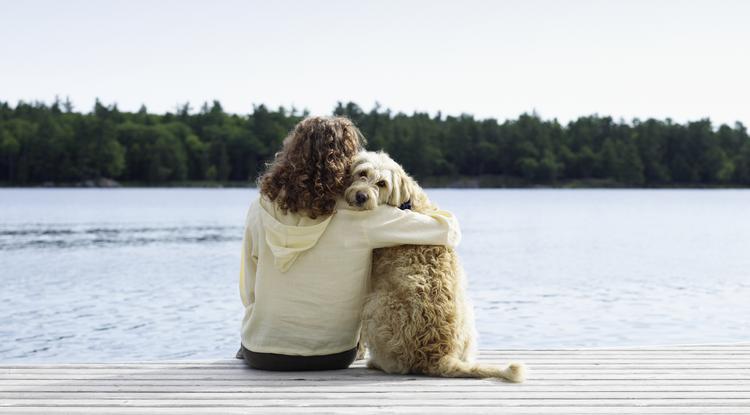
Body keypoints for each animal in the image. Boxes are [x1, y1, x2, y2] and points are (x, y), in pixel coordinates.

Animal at [346, 152, 524, 384]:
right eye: (362, 173)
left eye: (382, 183)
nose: (361, 196)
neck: (405, 203)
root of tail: (438, 354)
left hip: (377, 304)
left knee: (397, 364)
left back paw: (376, 363)